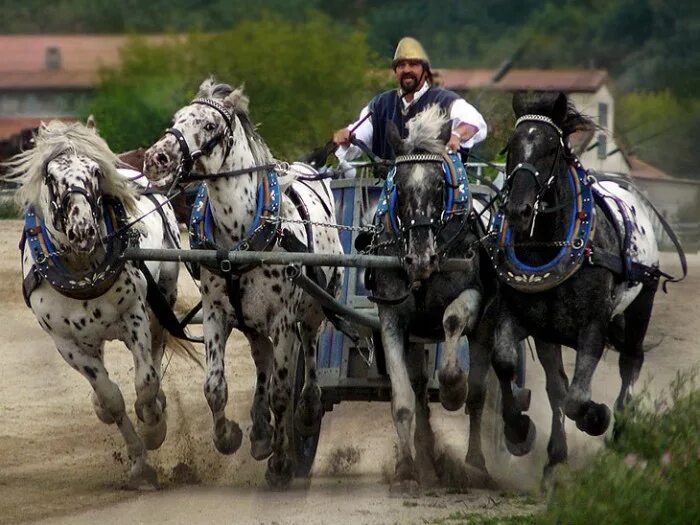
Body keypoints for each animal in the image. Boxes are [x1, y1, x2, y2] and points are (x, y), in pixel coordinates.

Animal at [4, 121, 197, 490]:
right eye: (51, 177)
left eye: (95, 172)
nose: (83, 230)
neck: (83, 270)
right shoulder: (66, 342)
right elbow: (111, 397)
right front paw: (139, 465)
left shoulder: (134, 317)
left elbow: (145, 383)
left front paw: (153, 428)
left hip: (162, 298)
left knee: (158, 351)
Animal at [141, 78, 344, 488]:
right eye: (176, 119)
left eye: (208, 125)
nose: (157, 159)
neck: (241, 234)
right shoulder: (217, 315)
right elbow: (214, 387)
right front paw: (229, 437)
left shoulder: (283, 321)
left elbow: (282, 393)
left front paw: (280, 464)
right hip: (252, 323)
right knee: (262, 359)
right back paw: (260, 431)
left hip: (313, 310)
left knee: (309, 357)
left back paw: (306, 412)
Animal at [364, 104, 494, 490]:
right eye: (398, 187)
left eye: (440, 185)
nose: (420, 259)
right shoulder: (392, 318)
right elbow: (403, 399)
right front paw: (406, 468)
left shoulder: (472, 296)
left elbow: (452, 321)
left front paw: (452, 391)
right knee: (420, 392)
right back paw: (428, 460)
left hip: (487, 329)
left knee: (479, 395)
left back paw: (476, 464)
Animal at [482, 92, 684, 482]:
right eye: (511, 147)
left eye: (550, 149)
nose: (518, 209)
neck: (549, 244)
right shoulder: (528, 323)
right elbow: (511, 366)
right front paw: (522, 433)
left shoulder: (592, 328)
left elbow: (576, 397)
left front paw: (597, 417)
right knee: (559, 385)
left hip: (641, 304)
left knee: (630, 362)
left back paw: (621, 430)